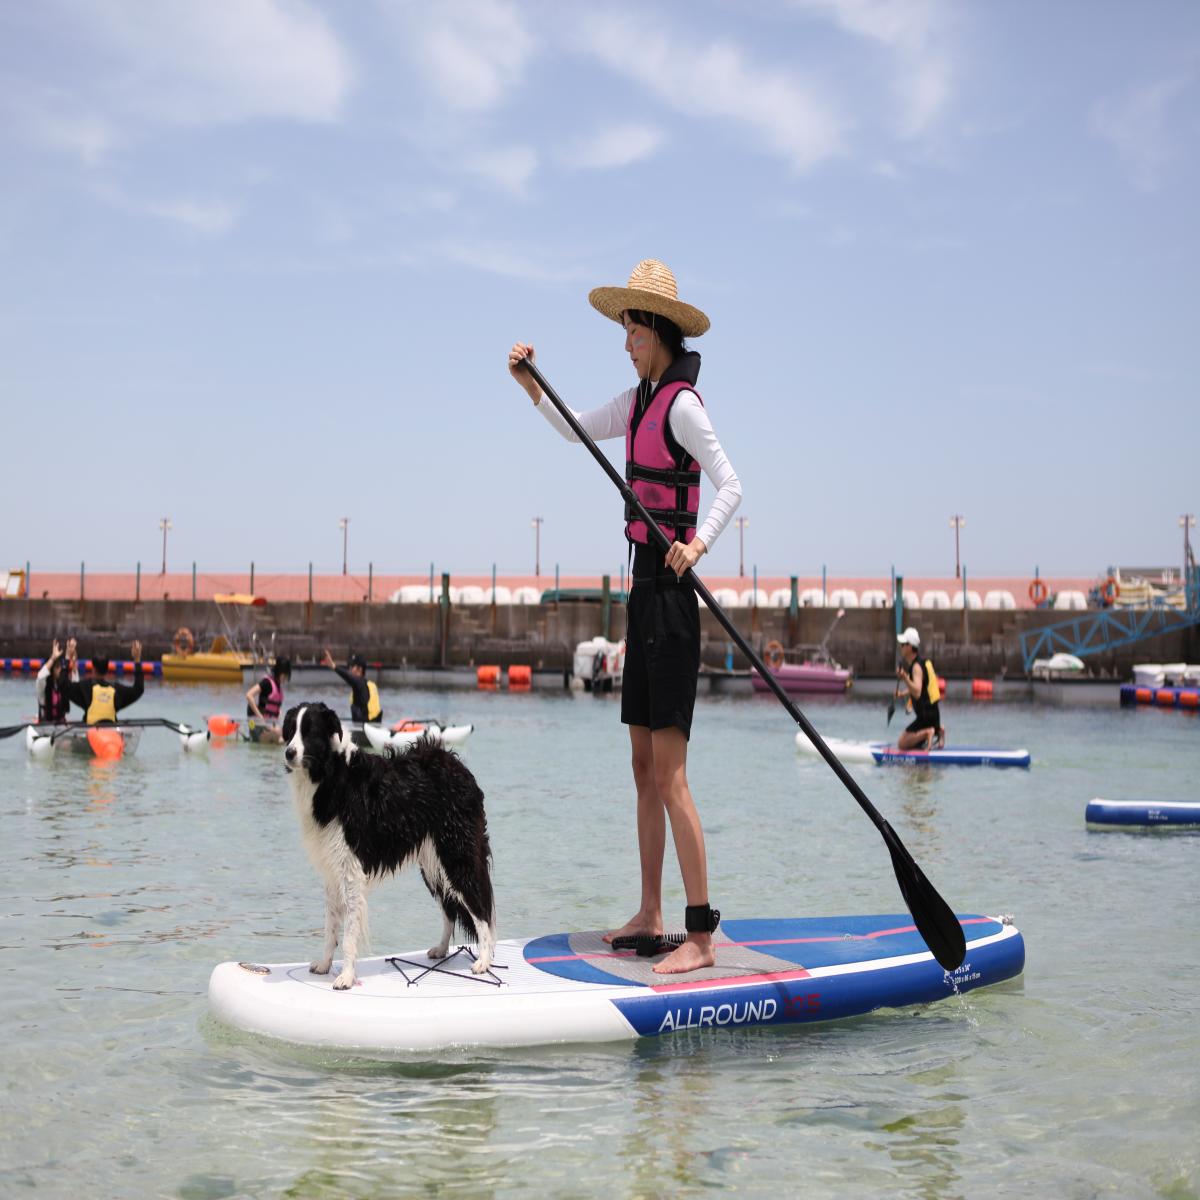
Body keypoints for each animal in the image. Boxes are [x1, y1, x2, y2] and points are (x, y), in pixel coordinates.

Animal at [282, 700, 496, 988]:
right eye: (290, 730)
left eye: (309, 732)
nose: (288, 753)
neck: (331, 775)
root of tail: (457, 766)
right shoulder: (332, 869)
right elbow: (331, 925)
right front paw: (325, 965)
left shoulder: (351, 869)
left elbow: (348, 932)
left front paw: (346, 977)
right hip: (432, 863)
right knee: (449, 909)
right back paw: (441, 949)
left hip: (456, 853)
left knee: (480, 907)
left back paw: (484, 960)